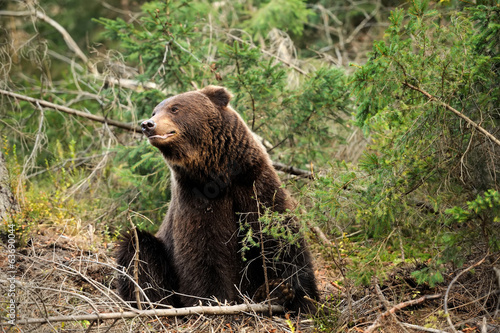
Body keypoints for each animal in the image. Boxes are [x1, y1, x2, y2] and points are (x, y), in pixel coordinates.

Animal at [118, 85, 316, 312]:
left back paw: (272, 292)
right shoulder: (196, 198)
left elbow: (281, 236)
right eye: (154, 111)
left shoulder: (253, 183)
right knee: (138, 248)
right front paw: (213, 300)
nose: (147, 124)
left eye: (175, 108)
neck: (218, 175)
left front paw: (299, 295)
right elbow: (202, 253)